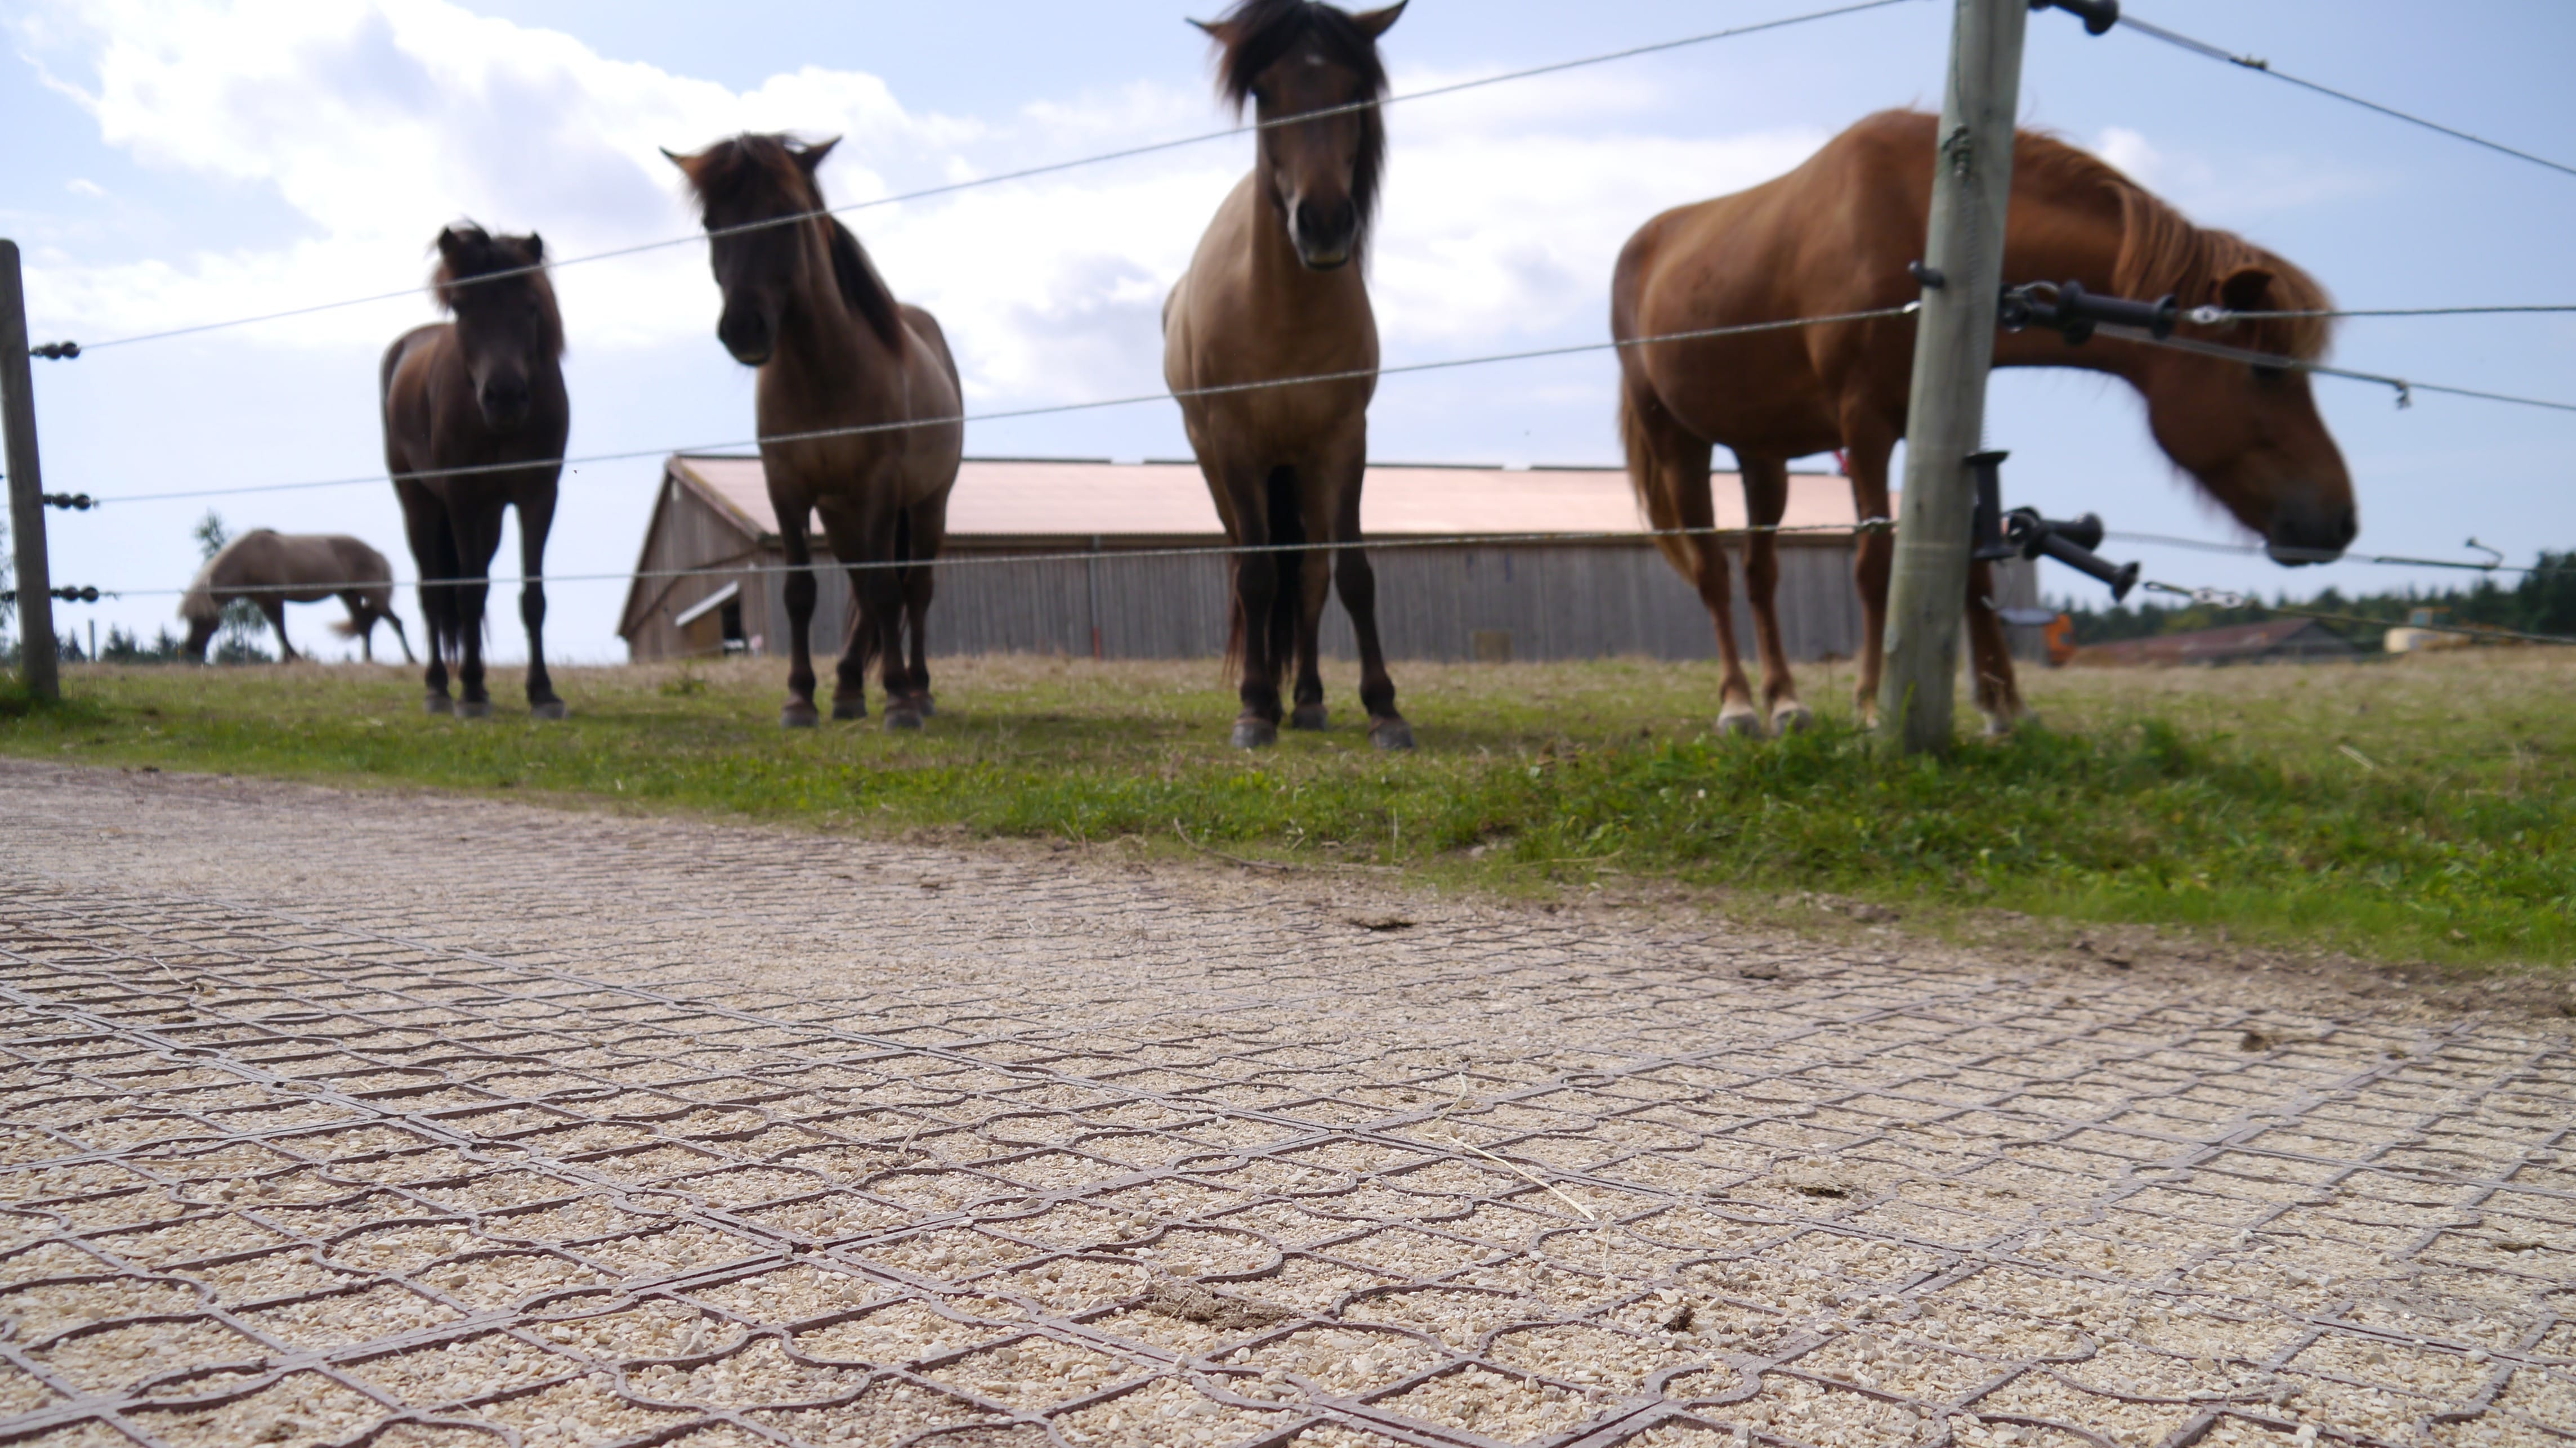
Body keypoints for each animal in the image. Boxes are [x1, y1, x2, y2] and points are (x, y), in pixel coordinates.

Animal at [181, 533, 414, 665]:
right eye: (190, 619)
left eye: (203, 618)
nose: (191, 648)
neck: (250, 559)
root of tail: (377, 554)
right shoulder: (262, 601)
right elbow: (278, 629)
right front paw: (290, 657)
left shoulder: (274, 599)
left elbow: (280, 629)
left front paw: (291, 658)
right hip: (349, 596)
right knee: (364, 625)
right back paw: (367, 660)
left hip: (374, 595)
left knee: (396, 622)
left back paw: (411, 660)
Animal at [664, 131, 968, 727]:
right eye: (713, 221)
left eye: (786, 214)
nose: (744, 328)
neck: (821, 373)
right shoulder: (786, 488)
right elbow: (801, 591)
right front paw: (800, 698)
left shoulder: (880, 485)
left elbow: (887, 588)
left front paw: (899, 701)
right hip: (840, 511)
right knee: (862, 588)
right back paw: (849, 689)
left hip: (927, 503)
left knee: (914, 588)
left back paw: (918, 688)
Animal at [1164, 0, 1411, 747]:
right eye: (1262, 92)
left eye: (1351, 89)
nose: (1324, 222)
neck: (1279, 312)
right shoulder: (1236, 448)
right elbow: (1255, 576)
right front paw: (1252, 707)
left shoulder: (1342, 441)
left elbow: (1350, 572)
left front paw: (1384, 707)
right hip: (1220, 466)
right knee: (1260, 565)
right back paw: (1272, 697)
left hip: (1298, 467)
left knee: (1306, 573)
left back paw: (1304, 697)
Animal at [1617, 108, 2359, 732]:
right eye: (2267, 371)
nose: (2340, 523)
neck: (1921, 227)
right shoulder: (1864, 425)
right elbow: (1873, 562)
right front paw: (1871, 702)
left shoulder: (1952, 430)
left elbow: (1970, 563)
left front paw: (2005, 705)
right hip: (1676, 440)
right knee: (1712, 571)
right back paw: (1739, 705)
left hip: (1761, 451)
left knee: (1758, 574)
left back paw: (1785, 701)